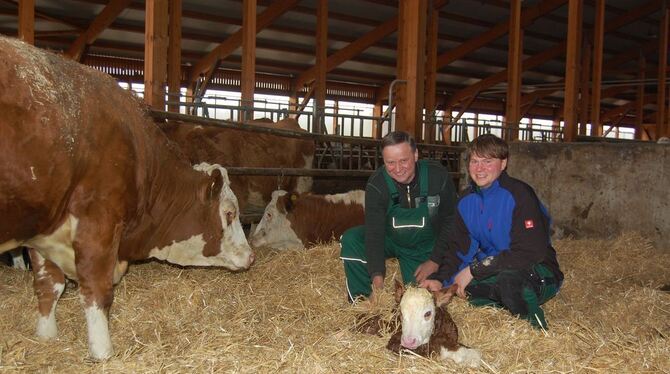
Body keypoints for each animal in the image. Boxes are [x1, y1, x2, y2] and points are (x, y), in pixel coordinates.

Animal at [0, 37, 255, 360]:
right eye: (230, 213)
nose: (251, 255)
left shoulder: (44, 228)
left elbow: (49, 285)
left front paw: (46, 338)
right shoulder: (98, 220)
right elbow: (97, 291)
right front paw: (103, 353)